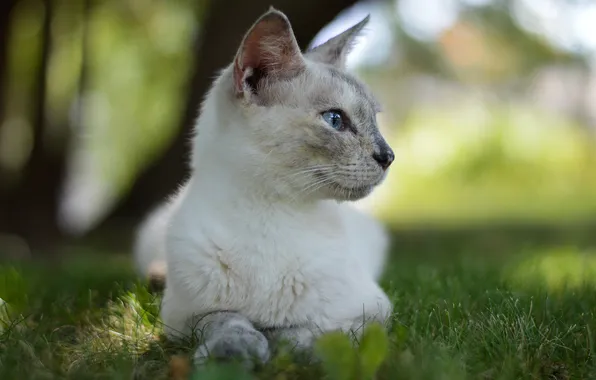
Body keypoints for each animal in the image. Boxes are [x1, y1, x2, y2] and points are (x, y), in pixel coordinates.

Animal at [135, 7, 396, 366]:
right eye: (335, 120)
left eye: (375, 120)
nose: (389, 156)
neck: (270, 214)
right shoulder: (183, 317)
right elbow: (227, 319)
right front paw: (233, 352)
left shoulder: (368, 311)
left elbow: (300, 333)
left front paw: (275, 346)